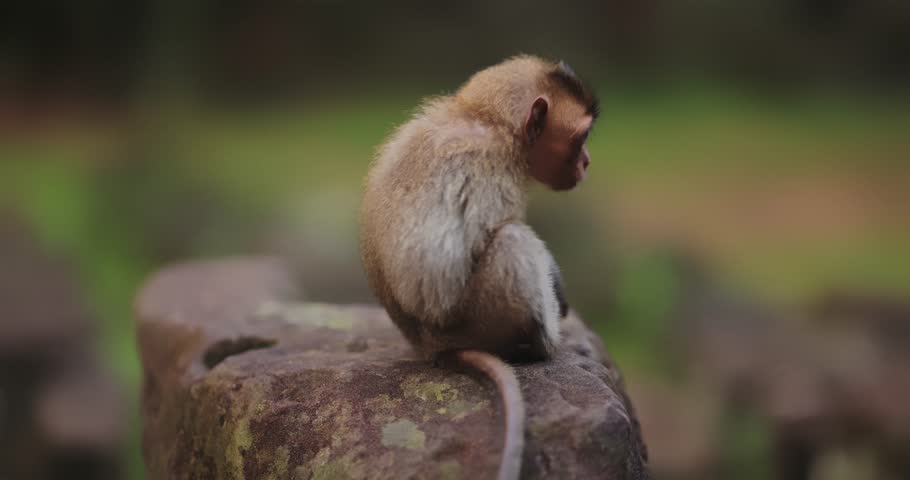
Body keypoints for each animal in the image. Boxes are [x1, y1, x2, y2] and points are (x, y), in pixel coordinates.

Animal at [359, 55, 598, 480]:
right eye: (581, 139)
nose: (587, 162)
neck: (484, 119)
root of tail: (427, 345)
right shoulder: (491, 166)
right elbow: (438, 275)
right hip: (476, 320)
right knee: (511, 240)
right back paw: (539, 343)